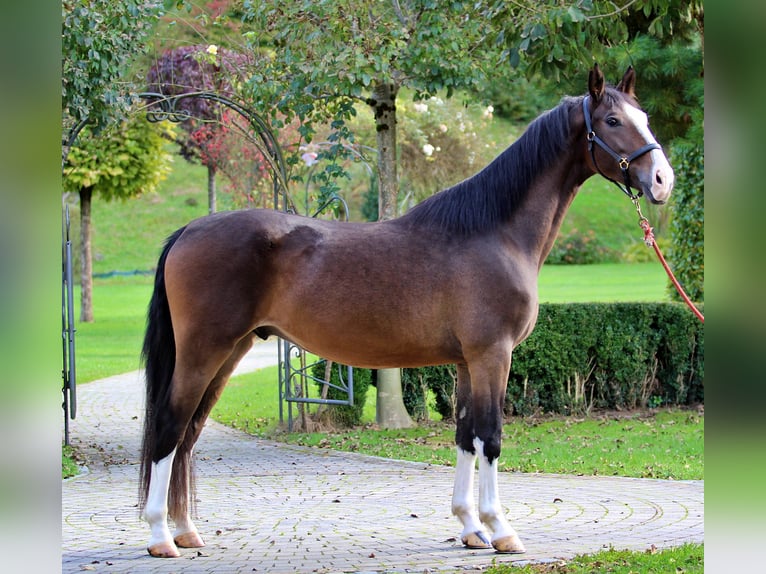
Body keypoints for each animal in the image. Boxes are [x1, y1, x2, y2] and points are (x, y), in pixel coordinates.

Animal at [138, 64, 674, 558]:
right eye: (611, 120)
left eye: (644, 118)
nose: (662, 180)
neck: (493, 232)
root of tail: (189, 230)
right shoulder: (492, 355)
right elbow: (491, 437)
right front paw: (501, 530)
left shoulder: (466, 362)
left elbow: (465, 436)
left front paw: (470, 528)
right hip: (204, 352)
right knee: (170, 426)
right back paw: (160, 536)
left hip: (229, 353)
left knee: (189, 433)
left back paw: (185, 531)